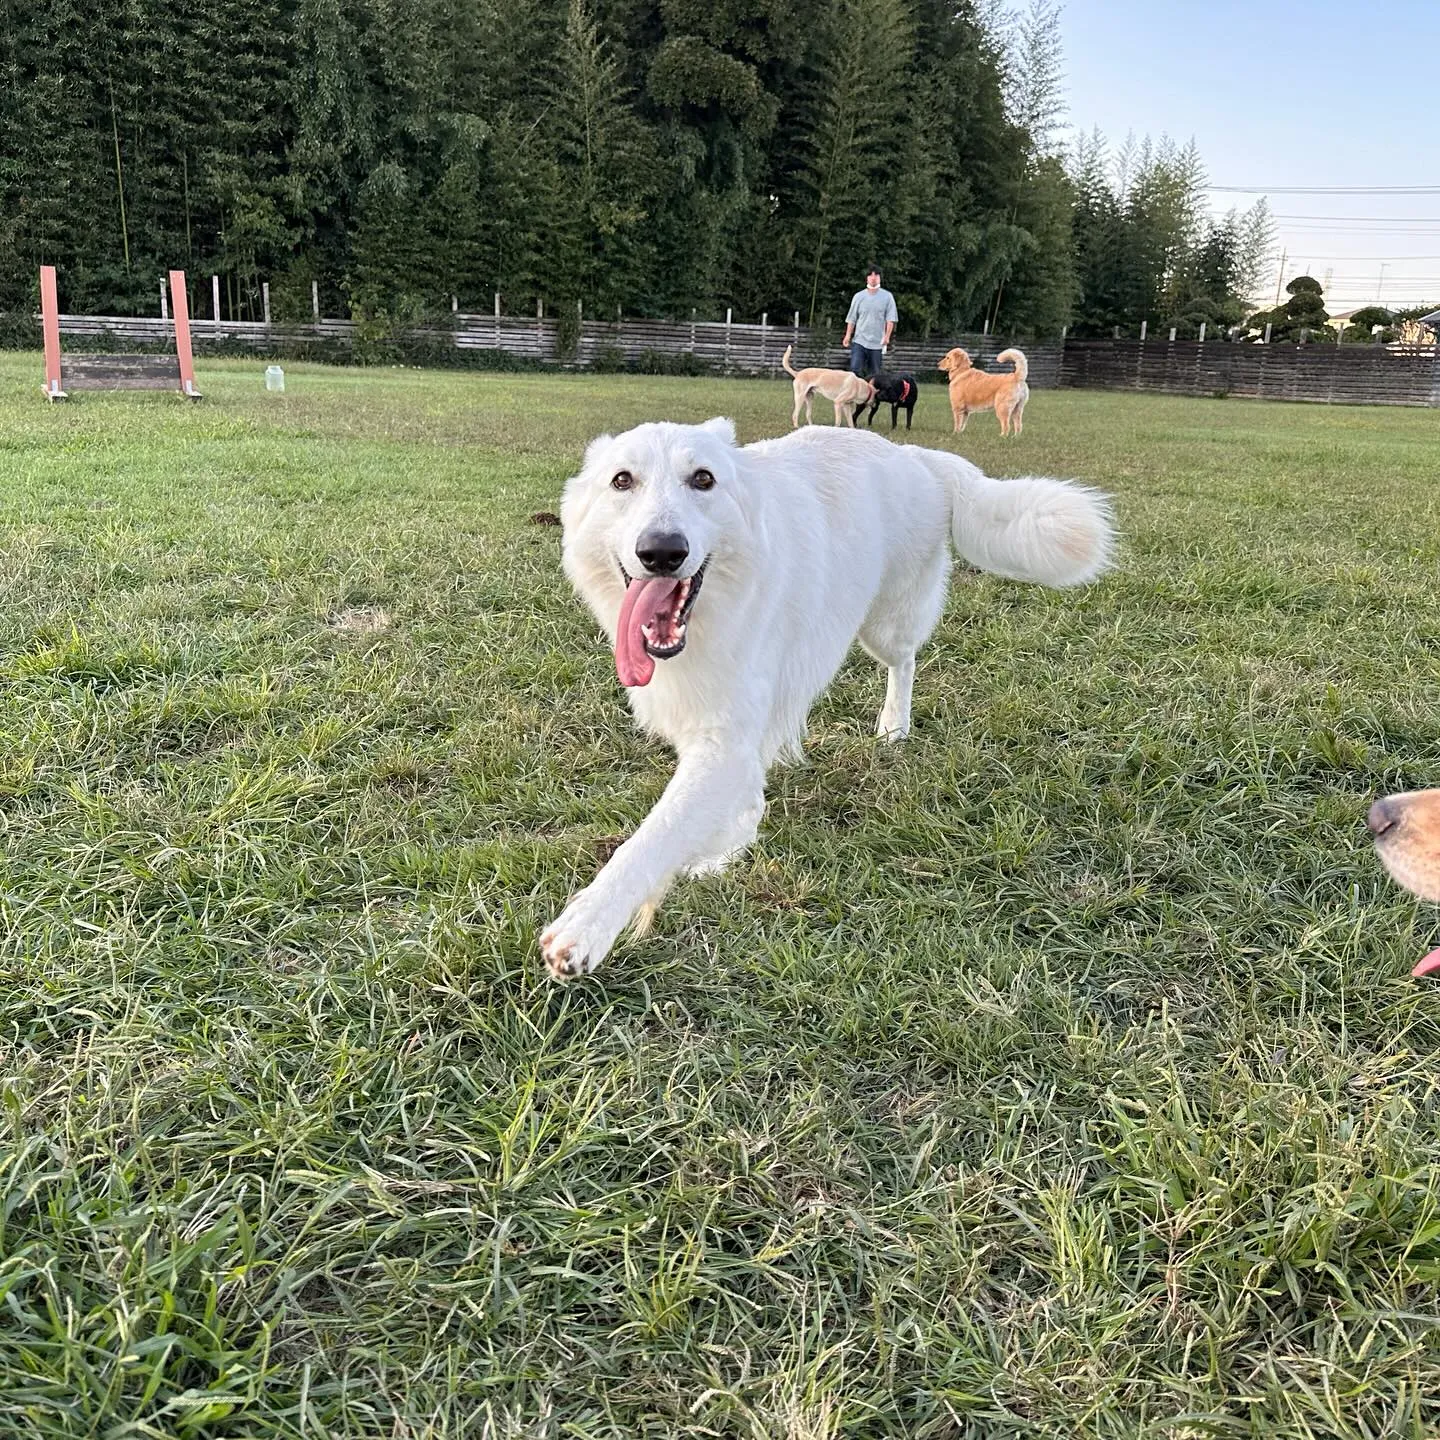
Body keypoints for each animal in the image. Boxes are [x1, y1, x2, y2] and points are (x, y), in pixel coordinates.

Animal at [541, 417, 1111, 979]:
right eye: (622, 481)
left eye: (703, 479)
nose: (662, 552)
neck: (708, 618)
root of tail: (915, 456)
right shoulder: (725, 736)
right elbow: (731, 806)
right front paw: (726, 852)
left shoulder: (725, 741)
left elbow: (652, 838)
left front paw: (587, 925)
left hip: (885, 626)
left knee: (905, 662)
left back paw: (894, 725)